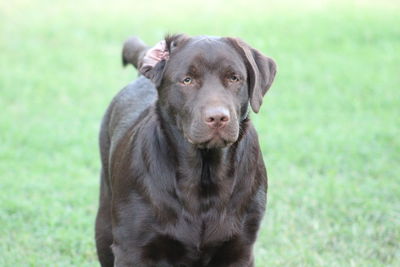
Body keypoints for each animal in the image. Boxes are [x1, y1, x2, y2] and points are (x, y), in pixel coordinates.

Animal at [95, 34, 276, 266]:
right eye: (187, 80)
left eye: (234, 78)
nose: (218, 117)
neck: (204, 175)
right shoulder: (132, 249)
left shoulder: (240, 248)